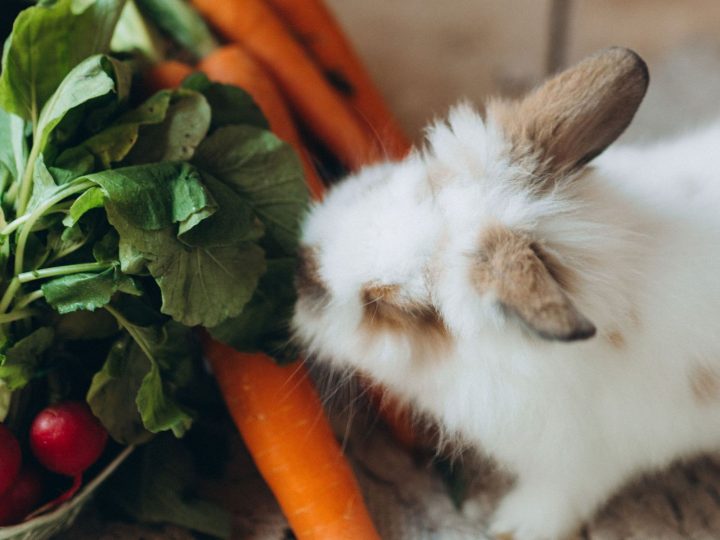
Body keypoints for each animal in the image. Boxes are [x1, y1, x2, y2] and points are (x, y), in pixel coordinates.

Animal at [292, 47, 720, 540]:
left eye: (392, 304)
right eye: (423, 182)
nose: (302, 270)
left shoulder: (586, 459)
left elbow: (558, 497)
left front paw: (510, 527)